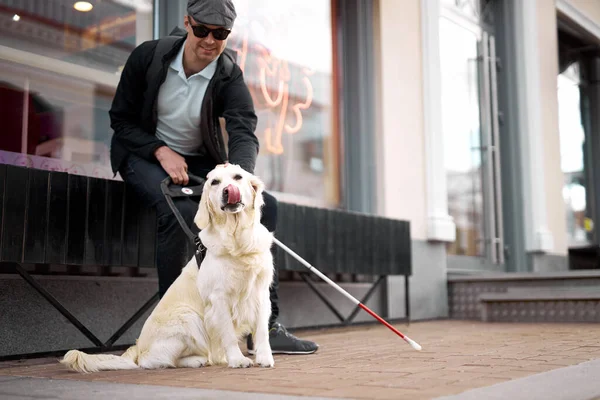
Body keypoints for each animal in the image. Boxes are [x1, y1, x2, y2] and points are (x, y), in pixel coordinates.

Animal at [59, 162, 276, 372]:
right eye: (215, 182)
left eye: (238, 177)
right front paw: (238, 360)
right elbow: (229, 334)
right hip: (187, 316)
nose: (227, 190)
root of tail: (138, 347)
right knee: (153, 361)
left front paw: (265, 358)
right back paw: (196, 361)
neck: (238, 240)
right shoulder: (219, 297)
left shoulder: (261, 294)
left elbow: (262, 332)